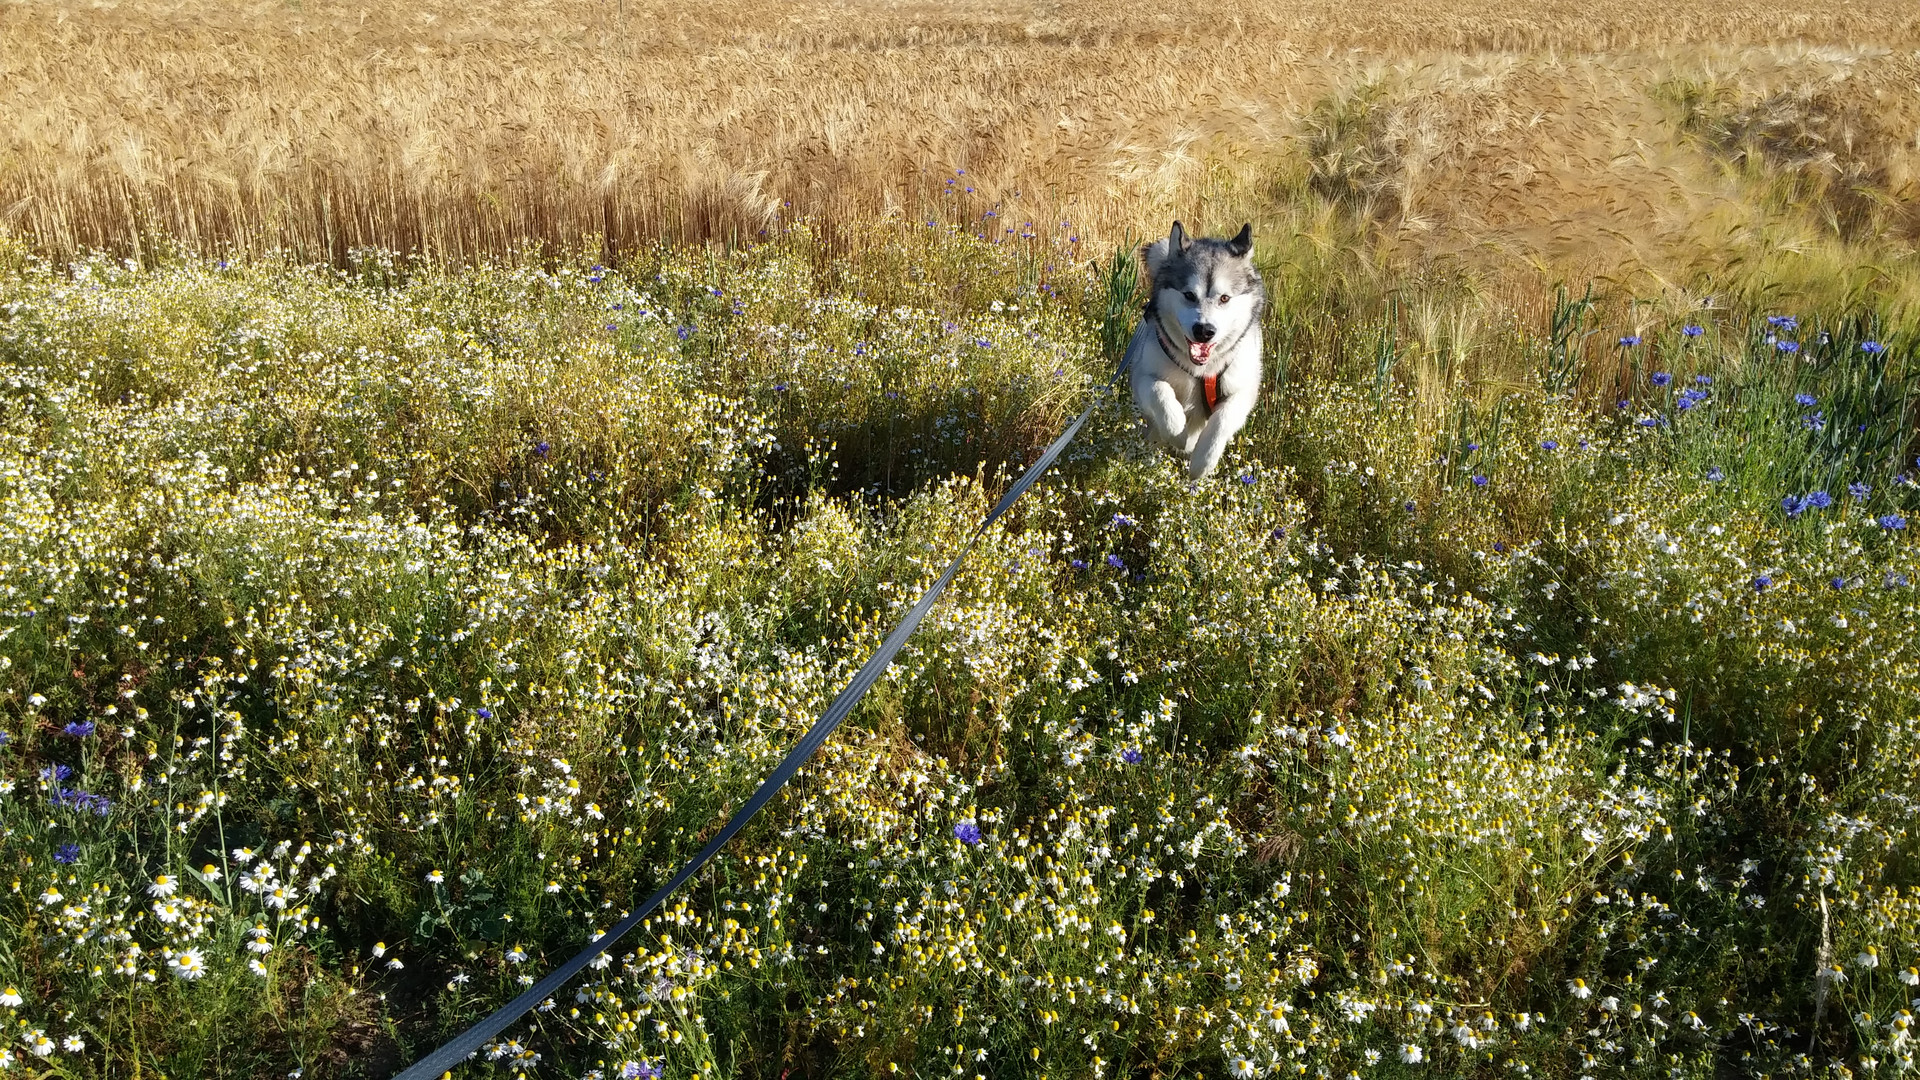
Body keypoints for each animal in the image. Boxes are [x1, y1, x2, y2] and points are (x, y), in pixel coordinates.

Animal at [1121, 220, 1259, 476]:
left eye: (1224, 298)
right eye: (1188, 294)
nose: (1204, 331)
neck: (1200, 370)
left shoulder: (1243, 390)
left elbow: (1222, 419)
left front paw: (1203, 461)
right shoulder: (1142, 376)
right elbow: (1160, 390)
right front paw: (1177, 430)